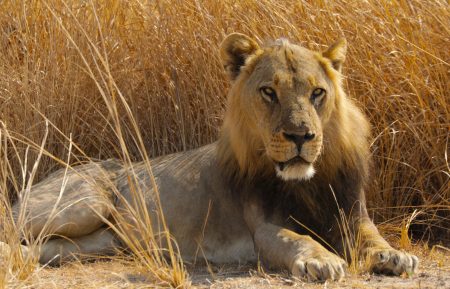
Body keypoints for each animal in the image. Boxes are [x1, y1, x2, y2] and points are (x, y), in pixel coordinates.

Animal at [2, 32, 418, 280]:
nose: (301, 136)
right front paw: (322, 259)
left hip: (102, 241)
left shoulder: (351, 212)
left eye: (317, 93)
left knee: (43, 249)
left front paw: (395, 256)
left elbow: (373, 236)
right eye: (269, 92)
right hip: (84, 202)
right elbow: (293, 237)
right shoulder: (263, 226)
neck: (305, 182)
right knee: (11, 226)